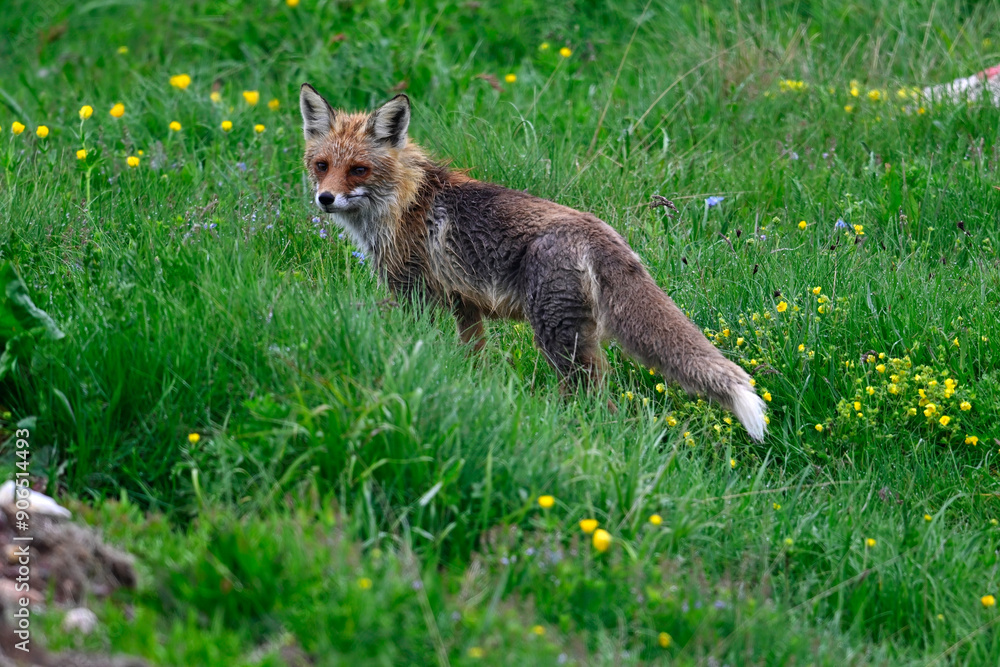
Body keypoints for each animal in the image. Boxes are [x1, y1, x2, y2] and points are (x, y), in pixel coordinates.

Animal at [299, 84, 767, 442]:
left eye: (358, 170)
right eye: (322, 165)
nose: (325, 199)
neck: (406, 202)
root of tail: (602, 233)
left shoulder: (416, 296)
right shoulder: (465, 307)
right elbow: (474, 361)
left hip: (558, 342)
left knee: (601, 404)